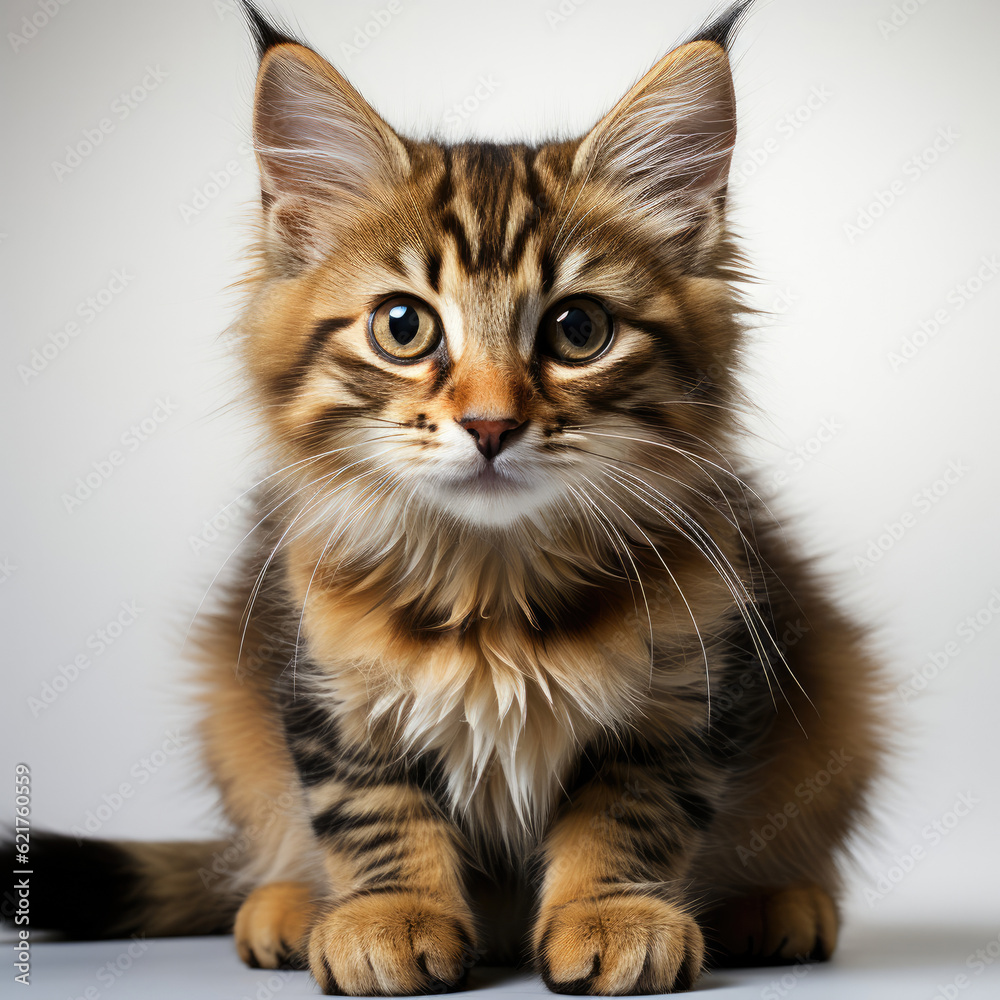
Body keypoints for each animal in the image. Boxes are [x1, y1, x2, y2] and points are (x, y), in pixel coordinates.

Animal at [13, 3, 884, 996]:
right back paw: (288, 905)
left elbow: (629, 813)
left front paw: (613, 915)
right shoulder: (322, 687)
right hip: (227, 709)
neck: (492, 589)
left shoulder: (691, 691)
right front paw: (389, 916)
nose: (490, 423)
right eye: (404, 326)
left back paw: (774, 904)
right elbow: (373, 811)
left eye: (578, 329)